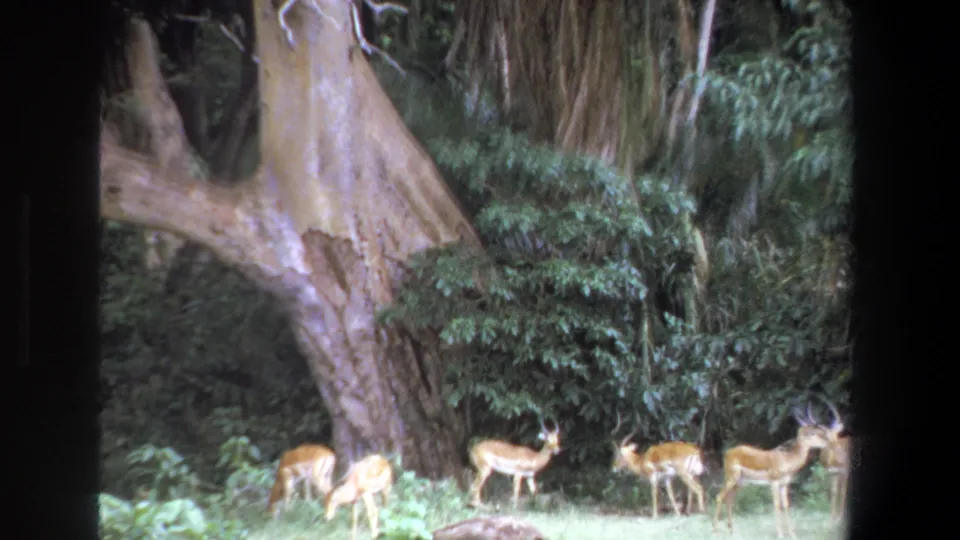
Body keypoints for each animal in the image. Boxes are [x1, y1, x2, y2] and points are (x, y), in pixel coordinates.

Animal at [712, 407, 831, 538]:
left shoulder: (784, 484)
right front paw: (780, 534)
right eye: (812, 433)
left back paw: (732, 531)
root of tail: (728, 453)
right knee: (719, 496)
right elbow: (776, 505)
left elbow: (786, 506)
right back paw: (715, 531)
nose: (828, 441)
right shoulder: (774, 483)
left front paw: (792, 534)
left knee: (729, 500)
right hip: (731, 478)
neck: (787, 460)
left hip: (740, 482)